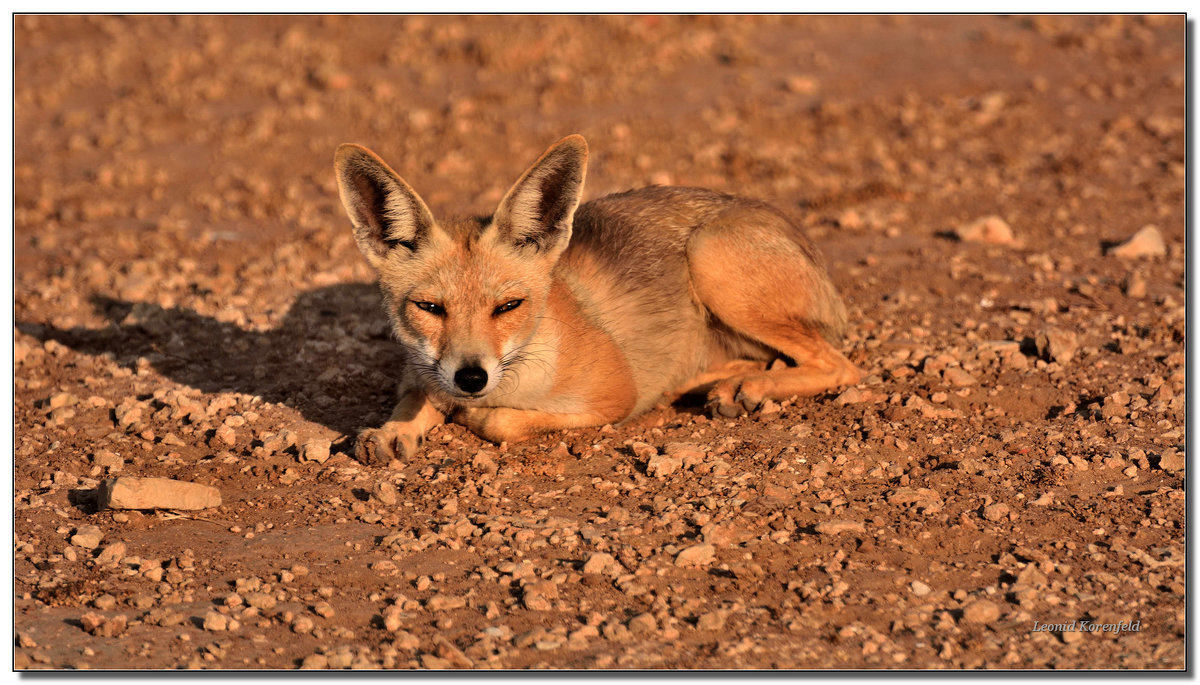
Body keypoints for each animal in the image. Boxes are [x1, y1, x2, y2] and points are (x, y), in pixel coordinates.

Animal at [336, 133, 864, 465]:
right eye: (429, 308)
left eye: (508, 307)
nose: (471, 377)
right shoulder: (421, 372)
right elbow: (416, 398)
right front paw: (394, 431)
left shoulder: (615, 397)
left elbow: (500, 423)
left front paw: (474, 414)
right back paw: (718, 381)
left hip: (711, 258)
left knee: (840, 365)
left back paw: (741, 385)